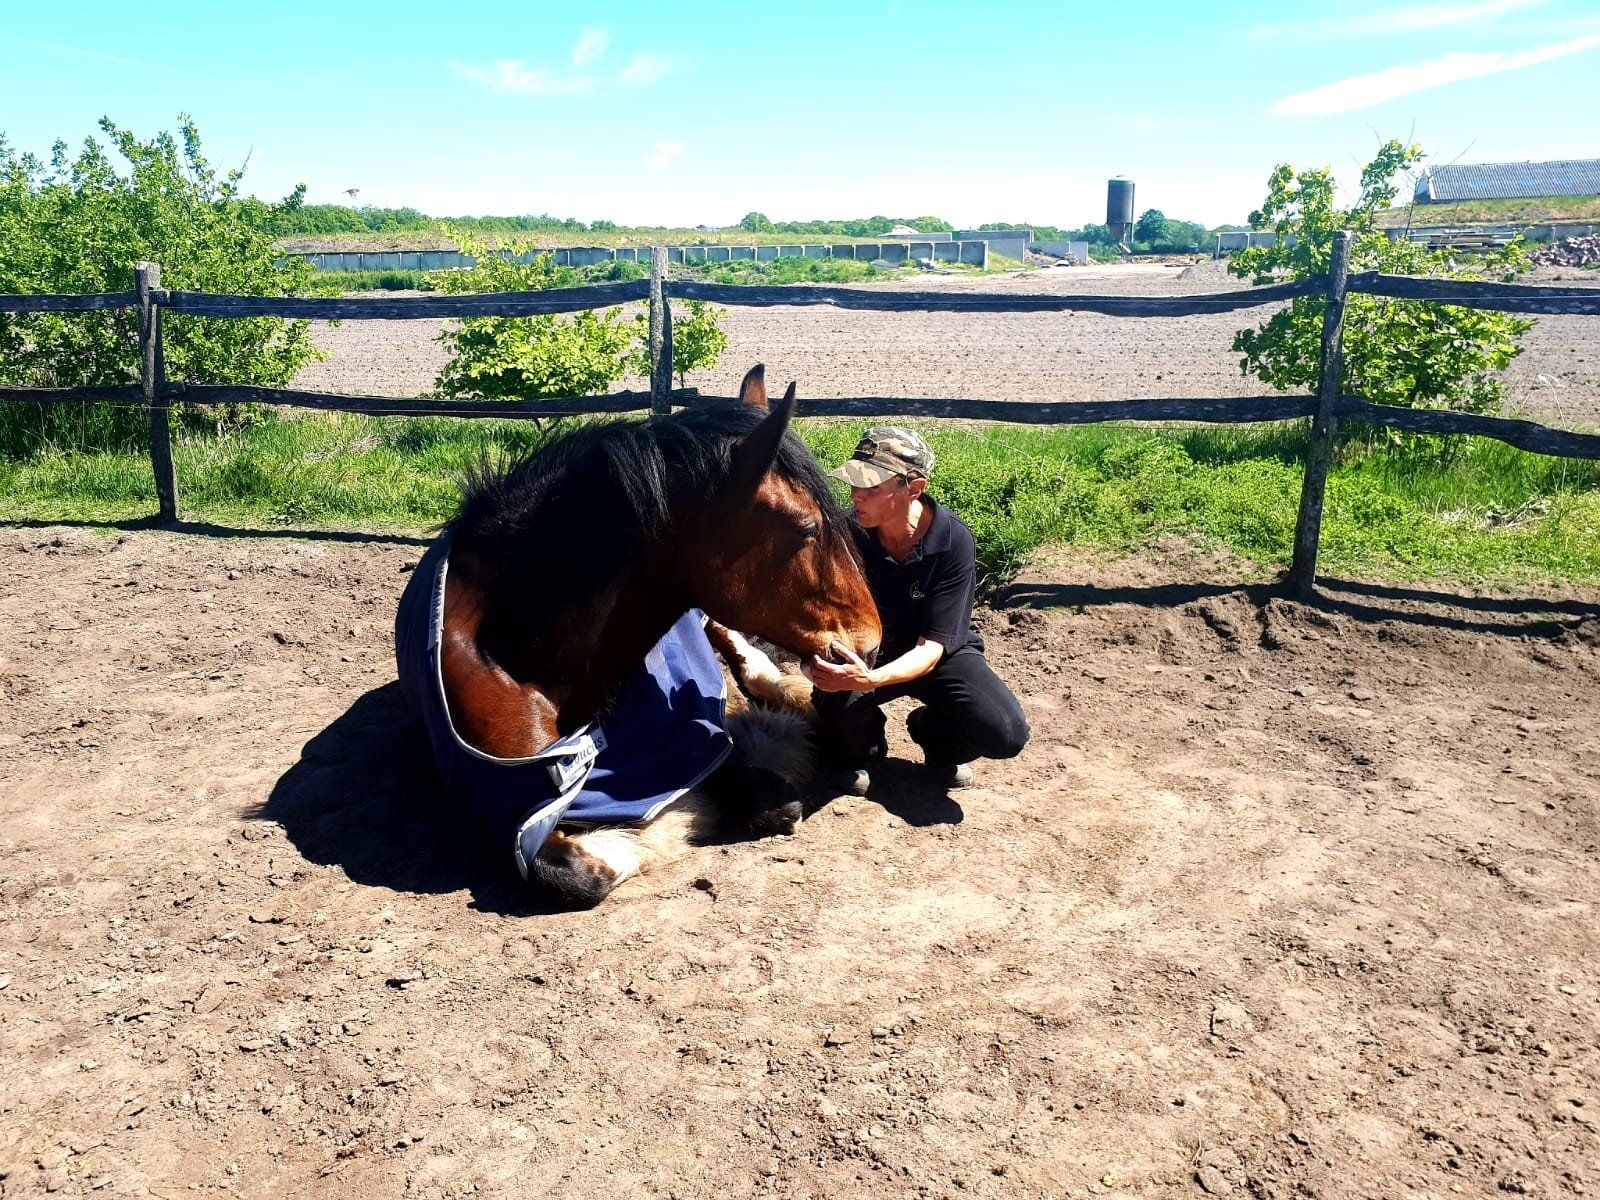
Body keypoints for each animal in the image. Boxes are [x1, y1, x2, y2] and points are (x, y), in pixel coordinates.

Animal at [394, 365, 881, 908]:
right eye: (807, 528)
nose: (870, 639)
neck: (517, 656)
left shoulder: (698, 740)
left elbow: (766, 794)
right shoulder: (511, 815)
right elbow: (574, 873)